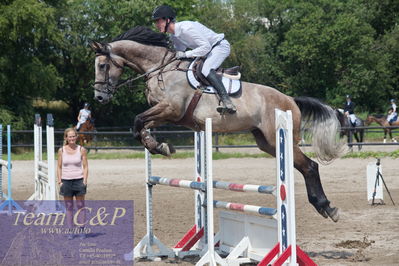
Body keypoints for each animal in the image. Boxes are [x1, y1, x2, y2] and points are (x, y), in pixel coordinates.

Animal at [90, 28, 344, 221]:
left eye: (102, 65)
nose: (99, 98)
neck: (161, 69)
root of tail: (291, 99)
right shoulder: (165, 114)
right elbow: (139, 126)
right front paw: (159, 146)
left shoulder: (172, 109)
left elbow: (137, 121)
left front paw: (160, 146)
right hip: (266, 142)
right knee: (301, 166)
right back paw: (323, 206)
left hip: (279, 137)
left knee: (310, 166)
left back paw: (327, 207)